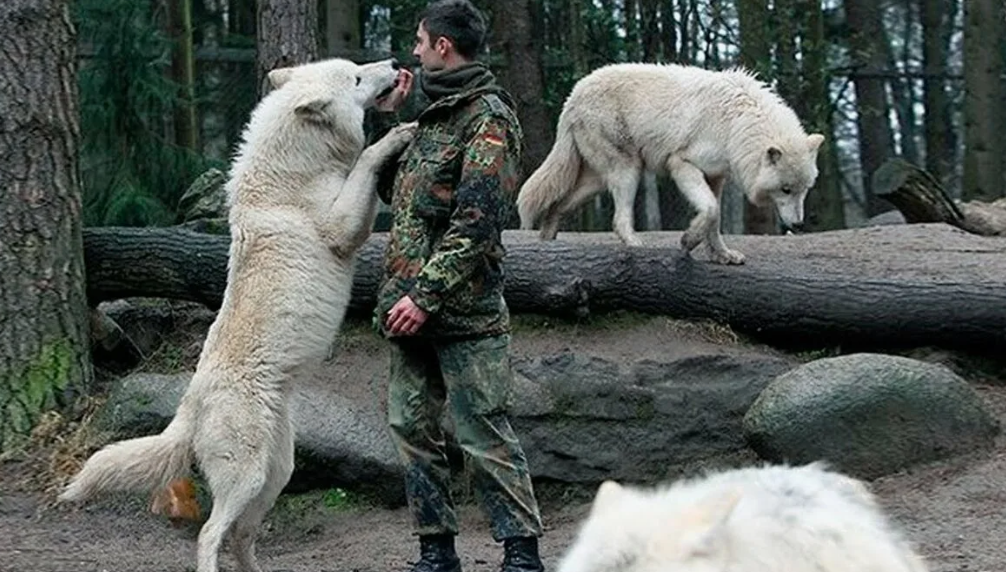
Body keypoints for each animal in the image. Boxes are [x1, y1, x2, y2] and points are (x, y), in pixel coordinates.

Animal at [57, 54, 418, 570]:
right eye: (355, 78)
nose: (393, 62)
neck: (293, 172)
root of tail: (189, 405)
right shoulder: (340, 228)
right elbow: (367, 160)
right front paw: (398, 134)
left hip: (276, 474)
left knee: (240, 536)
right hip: (246, 476)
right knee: (211, 534)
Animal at [519, 63, 824, 263]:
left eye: (804, 190)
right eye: (785, 190)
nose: (798, 225)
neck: (735, 123)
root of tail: (572, 97)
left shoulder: (716, 176)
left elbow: (715, 218)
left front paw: (722, 255)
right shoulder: (681, 163)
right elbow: (710, 209)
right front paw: (688, 241)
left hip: (597, 181)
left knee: (558, 205)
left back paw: (546, 245)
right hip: (628, 170)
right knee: (618, 219)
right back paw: (635, 245)